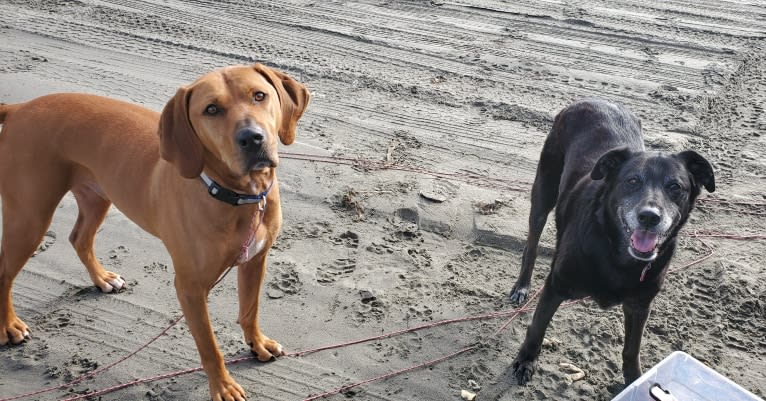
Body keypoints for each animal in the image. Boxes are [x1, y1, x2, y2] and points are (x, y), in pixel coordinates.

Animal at [1, 64, 312, 398]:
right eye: (211, 109)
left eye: (259, 95)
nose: (252, 138)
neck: (239, 196)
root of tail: (19, 108)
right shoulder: (190, 289)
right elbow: (209, 347)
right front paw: (223, 386)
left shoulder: (255, 260)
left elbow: (250, 309)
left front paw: (258, 343)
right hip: (29, 217)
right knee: (5, 271)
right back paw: (8, 325)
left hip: (97, 194)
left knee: (79, 238)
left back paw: (102, 278)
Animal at [510, 97, 720, 384]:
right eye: (632, 181)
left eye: (675, 187)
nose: (649, 217)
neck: (616, 253)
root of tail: (589, 100)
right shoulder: (555, 286)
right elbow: (537, 326)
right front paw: (526, 360)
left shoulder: (640, 306)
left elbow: (632, 349)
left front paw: (635, 380)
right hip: (543, 192)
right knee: (531, 245)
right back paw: (522, 286)